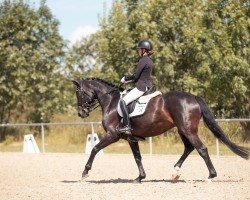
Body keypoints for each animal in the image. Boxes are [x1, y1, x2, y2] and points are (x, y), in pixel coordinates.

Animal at [71, 77, 249, 183]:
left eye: (78, 93)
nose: (81, 113)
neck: (112, 102)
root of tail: (193, 97)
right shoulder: (131, 138)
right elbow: (137, 157)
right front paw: (140, 177)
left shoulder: (112, 135)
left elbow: (94, 149)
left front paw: (85, 172)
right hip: (182, 129)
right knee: (189, 148)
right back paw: (175, 172)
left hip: (188, 130)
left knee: (201, 148)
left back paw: (211, 175)